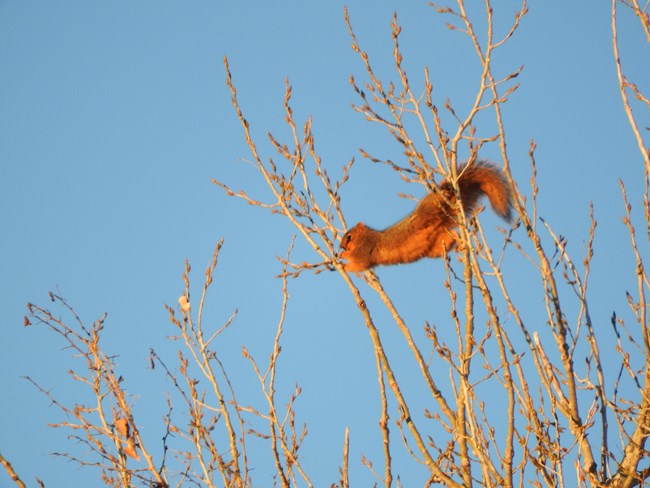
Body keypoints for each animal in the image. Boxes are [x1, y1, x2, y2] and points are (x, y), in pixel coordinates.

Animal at [340, 162, 512, 272]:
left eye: (349, 237)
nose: (342, 247)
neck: (368, 235)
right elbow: (360, 266)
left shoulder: (365, 248)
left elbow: (359, 261)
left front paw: (342, 258)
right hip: (438, 244)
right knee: (452, 234)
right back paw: (459, 242)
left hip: (430, 208)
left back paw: (448, 194)